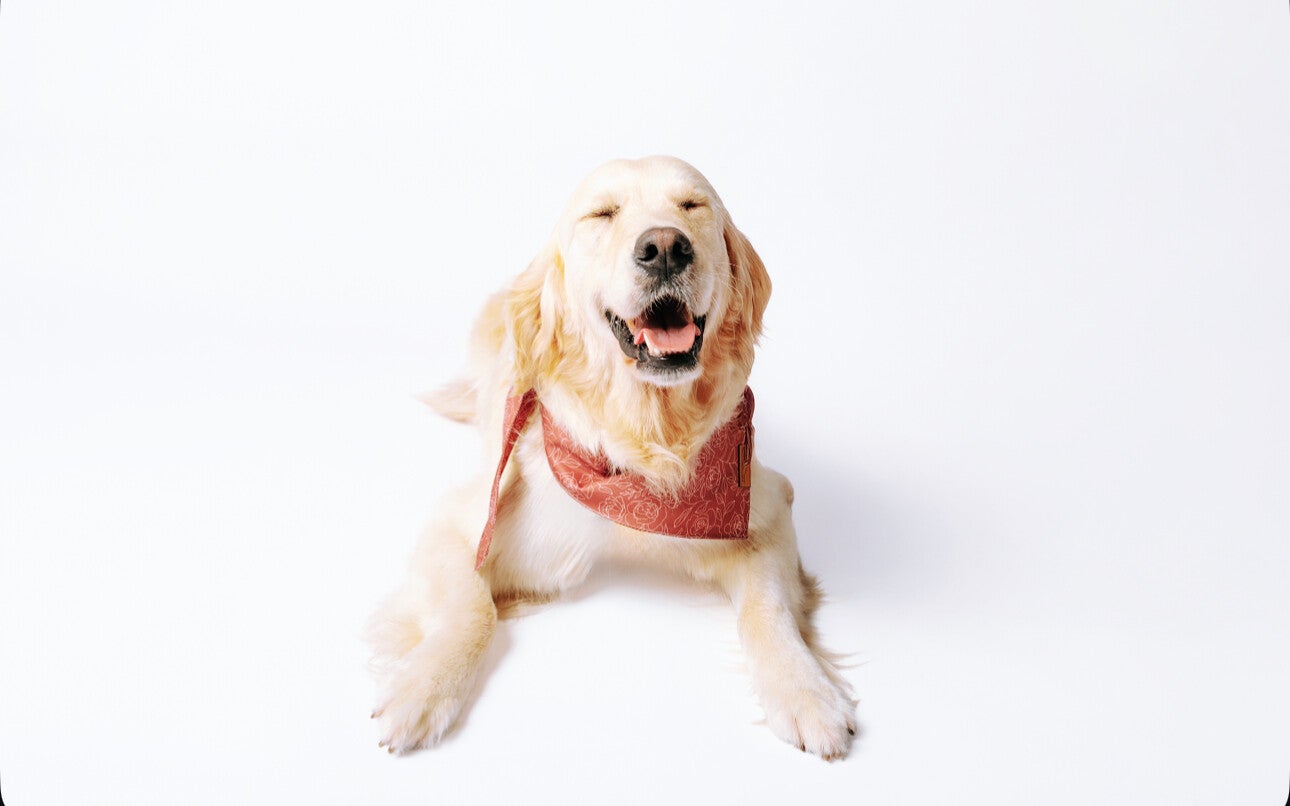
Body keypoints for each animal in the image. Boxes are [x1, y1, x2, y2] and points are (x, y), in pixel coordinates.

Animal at [368, 156, 856, 759]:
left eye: (693, 206)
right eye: (603, 213)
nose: (665, 247)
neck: (644, 449)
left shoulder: (768, 506)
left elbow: (768, 608)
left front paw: (805, 691)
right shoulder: (465, 521)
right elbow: (472, 607)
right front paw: (421, 685)